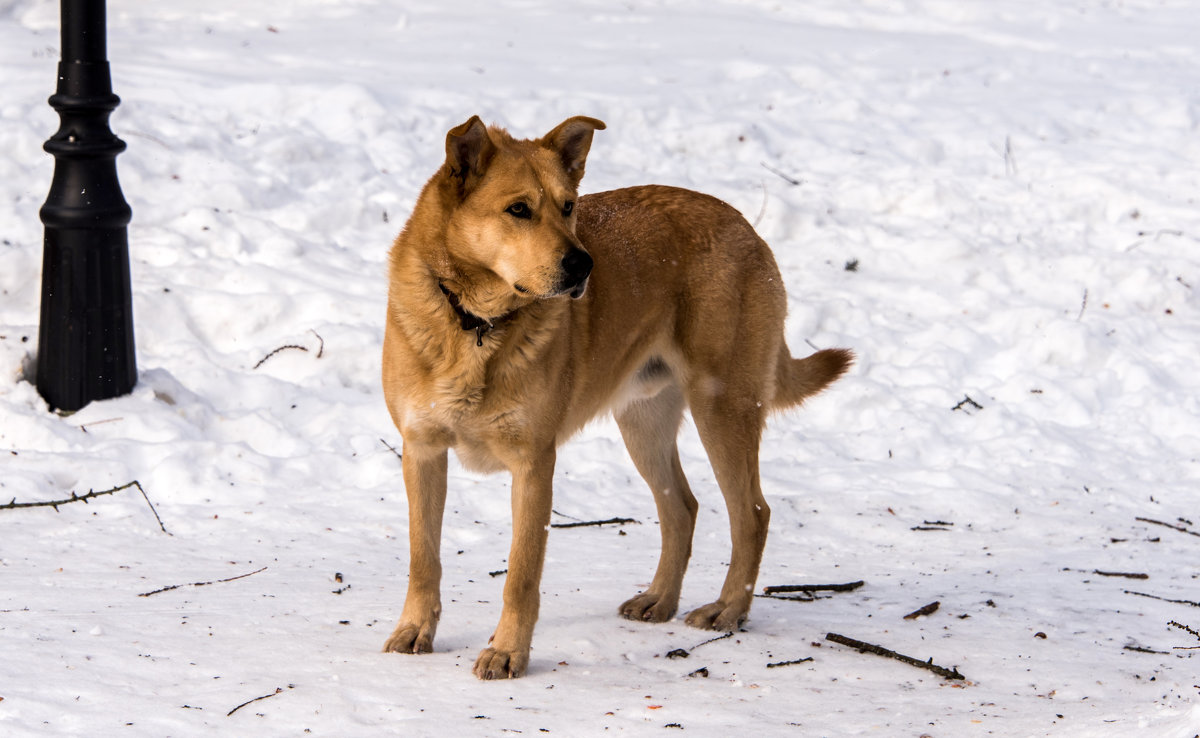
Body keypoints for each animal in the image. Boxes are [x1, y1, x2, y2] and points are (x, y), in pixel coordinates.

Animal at [379, 117, 849, 681]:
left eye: (569, 206)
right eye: (518, 209)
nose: (584, 265)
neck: (475, 325)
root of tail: (745, 225)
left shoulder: (533, 462)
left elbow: (521, 574)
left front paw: (509, 651)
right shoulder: (422, 450)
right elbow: (422, 558)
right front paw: (414, 630)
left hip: (723, 407)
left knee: (752, 513)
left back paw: (728, 609)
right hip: (644, 423)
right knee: (682, 507)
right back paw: (660, 599)